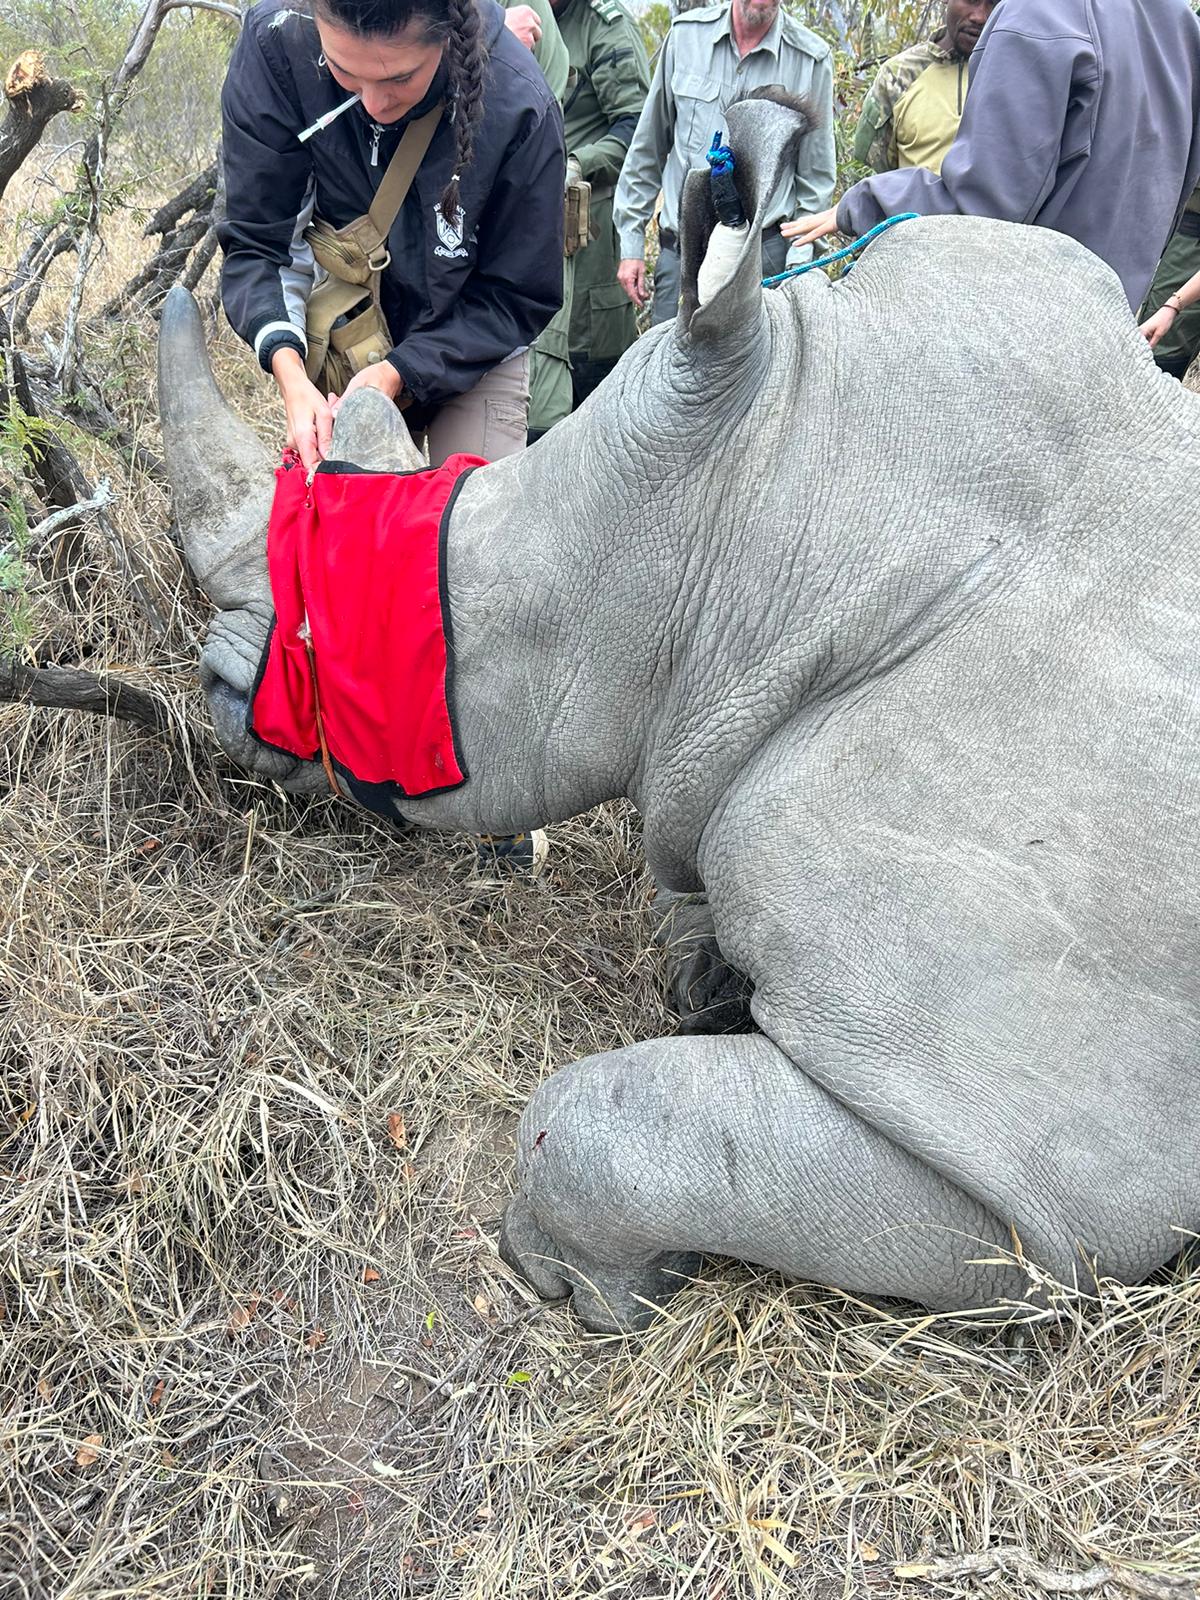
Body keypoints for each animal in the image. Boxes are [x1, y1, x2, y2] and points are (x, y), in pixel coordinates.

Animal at [159, 93, 1199, 1333]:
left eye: (346, 617)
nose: (214, 683)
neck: (786, 519)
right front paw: (704, 979)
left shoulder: (1032, 1182)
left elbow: (600, 1122)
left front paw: (575, 1277)